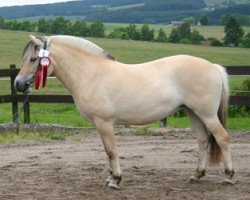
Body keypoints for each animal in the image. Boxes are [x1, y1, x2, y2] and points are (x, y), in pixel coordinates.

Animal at [15, 35, 234, 190]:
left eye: (34, 59)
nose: (18, 84)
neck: (90, 74)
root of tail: (213, 66)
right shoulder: (100, 125)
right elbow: (107, 151)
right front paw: (110, 177)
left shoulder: (104, 122)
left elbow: (111, 151)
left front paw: (115, 180)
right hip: (193, 113)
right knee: (203, 140)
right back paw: (196, 175)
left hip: (206, 114)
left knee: (222, 138)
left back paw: (229, 176)